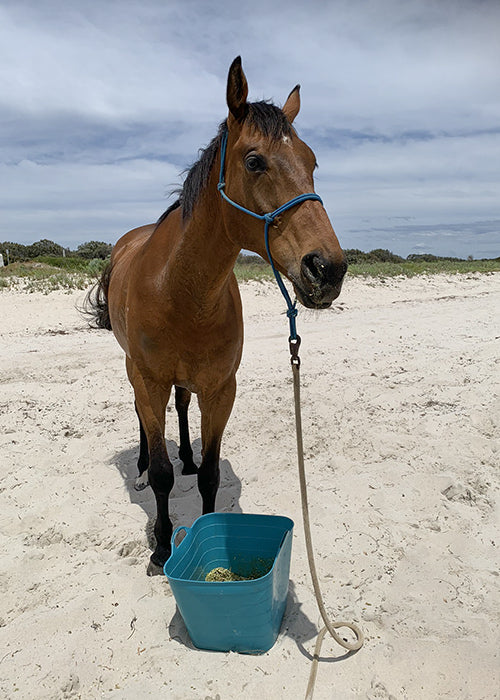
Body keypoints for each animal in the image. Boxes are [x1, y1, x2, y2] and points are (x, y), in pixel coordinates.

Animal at [88, 57, 346, 576]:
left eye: (311, 162)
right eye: (254, 161)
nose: (328, 269)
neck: (180, 291)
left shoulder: (221, 388)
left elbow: (208, 475)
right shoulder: (149, 380)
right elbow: (163, 475)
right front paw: (161, 549)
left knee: (183, 408)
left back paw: (184, 454)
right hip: (134, 372)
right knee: (144, 421)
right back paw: (141, 468)